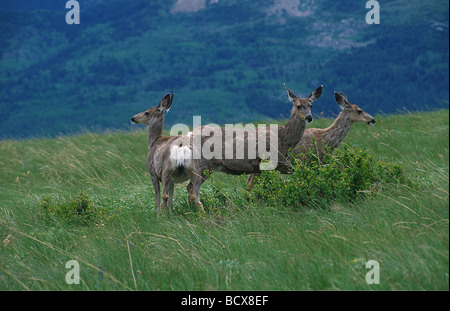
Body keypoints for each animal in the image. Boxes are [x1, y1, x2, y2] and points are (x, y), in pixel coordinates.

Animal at [187, 84, 324, 207]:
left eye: (311, 105)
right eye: (298, 106)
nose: (309, 117)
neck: (284, 139)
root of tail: (189, 135)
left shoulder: (259, 167)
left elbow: (251, 186)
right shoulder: (264, 161)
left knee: (189, 188)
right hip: (204, 163)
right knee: (193, 189)